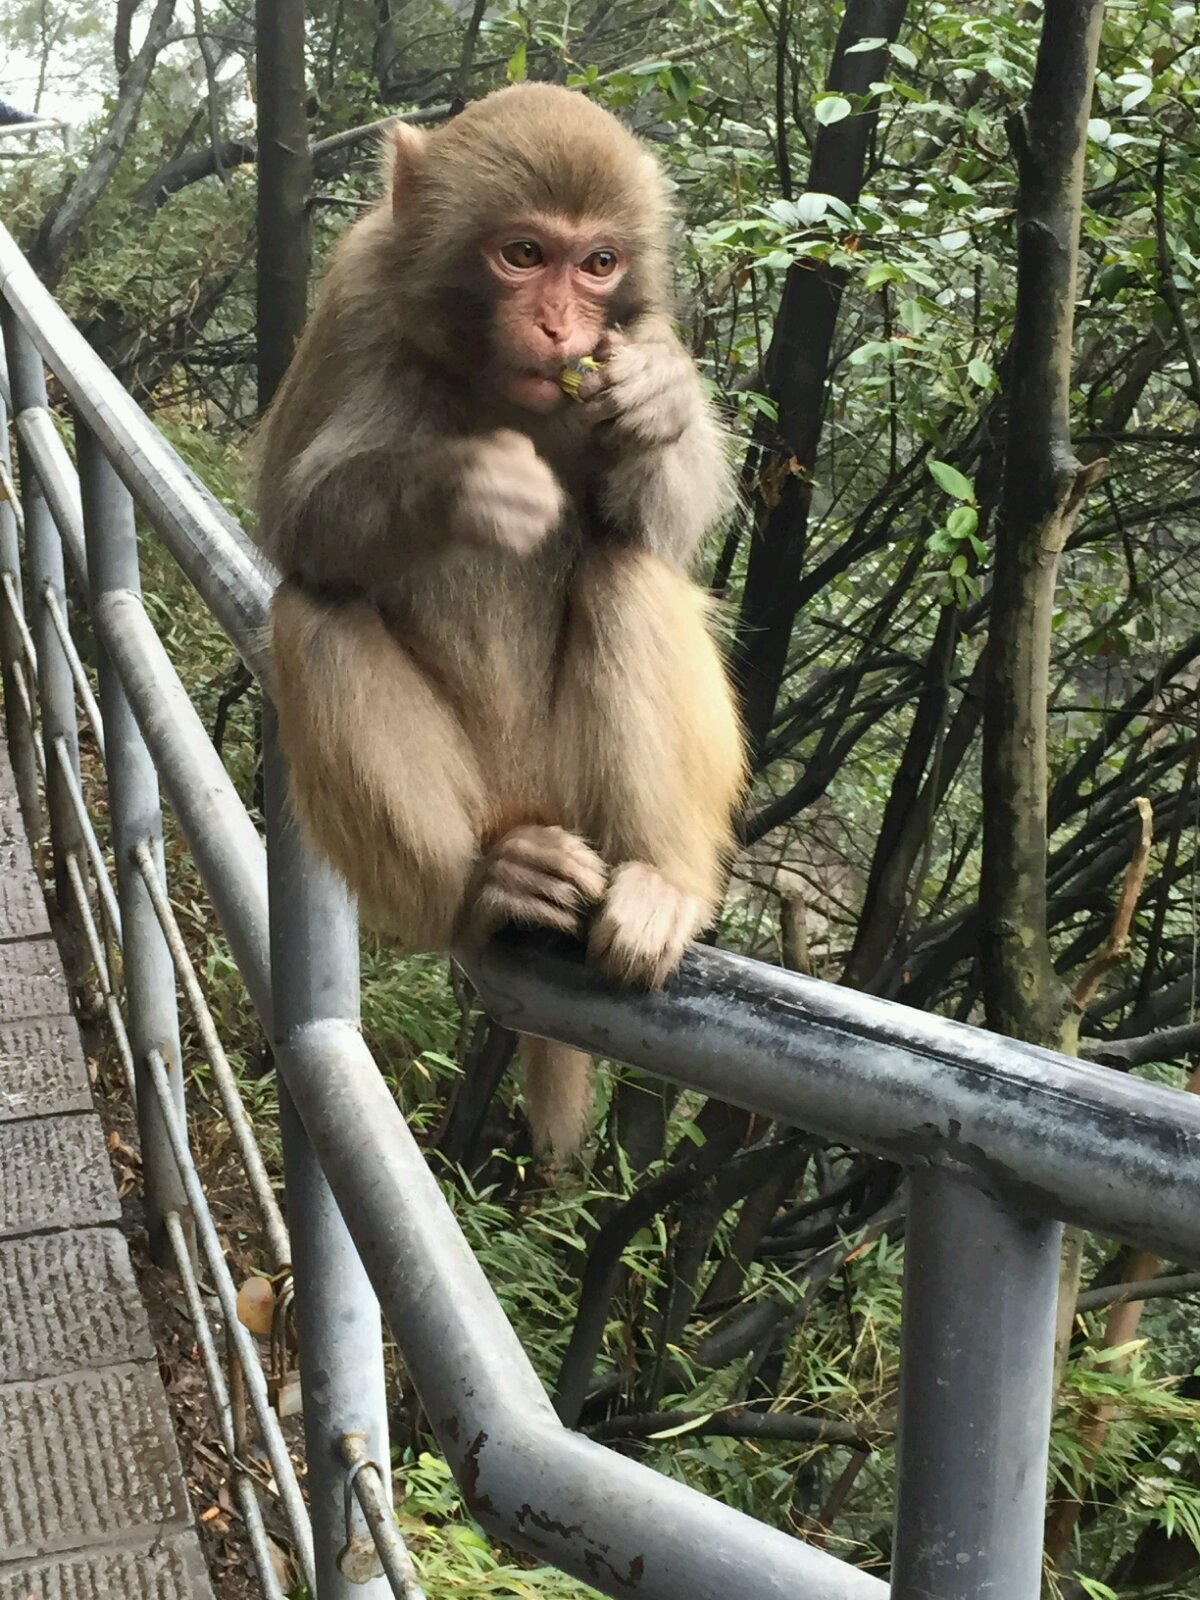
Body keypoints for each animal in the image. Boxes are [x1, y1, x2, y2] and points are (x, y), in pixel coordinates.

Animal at [256, 84, 742, 1164]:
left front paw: (662, 399)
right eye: (523, 253)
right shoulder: (353, 294)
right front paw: (460, 481)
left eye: (598, 263)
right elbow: (290, 524)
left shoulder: (644, 324)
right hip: (477, 794)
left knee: (627, 568)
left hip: (575, 780)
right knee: (315, 613)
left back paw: (661, 882)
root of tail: (528, 803)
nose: (561, 327)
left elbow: (669, 528)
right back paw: (489, 887)